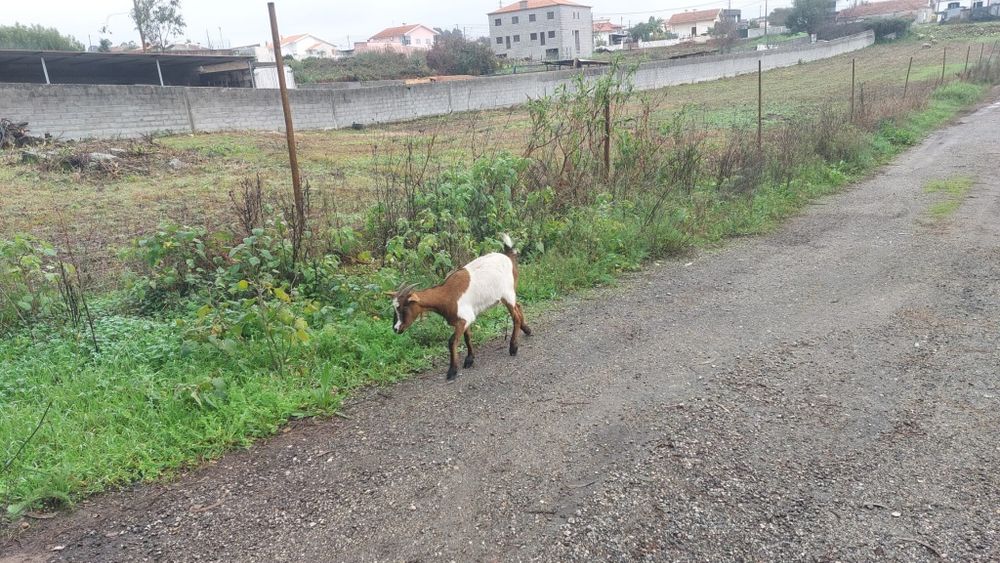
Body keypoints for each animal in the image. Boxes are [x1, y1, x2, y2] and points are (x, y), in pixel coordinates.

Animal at [390, 234, 532, 381]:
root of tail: (508, 256)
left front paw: (452, 371)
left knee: (515, 316)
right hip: (509, 295)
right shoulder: (466, 318)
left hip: (507, 293)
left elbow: (452, 341)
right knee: (518, 306)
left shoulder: (462, 319)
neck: (446, 294)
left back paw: (513, 347)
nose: (396, 328)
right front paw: (469, 359)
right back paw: (527, 329)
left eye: (403, 307)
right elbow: (467, 337)